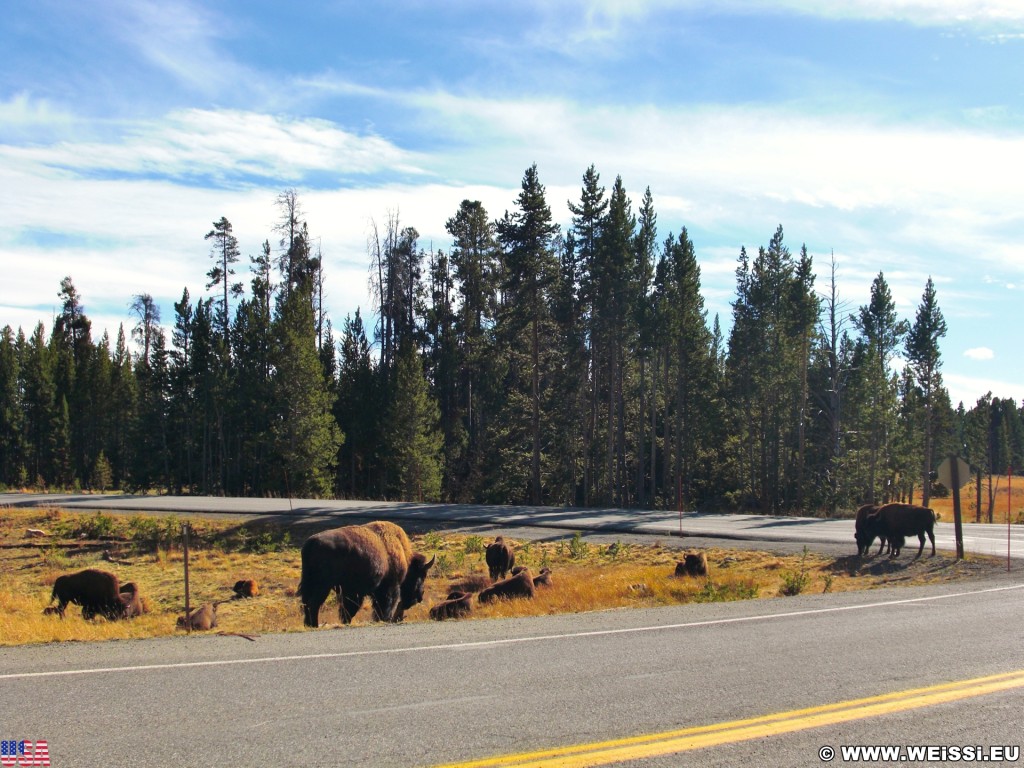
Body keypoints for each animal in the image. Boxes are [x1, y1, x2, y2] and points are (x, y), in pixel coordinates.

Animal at [299, 520, 436, 626]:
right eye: (421, 575)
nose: (420, 597)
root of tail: (311, 543)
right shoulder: (389, 587)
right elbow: (385, 606)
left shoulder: (352, 592)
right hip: (322, 586)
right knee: (313, 603)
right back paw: (314, 625)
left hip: (308, 582)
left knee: (306, 602)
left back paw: (309, 625)